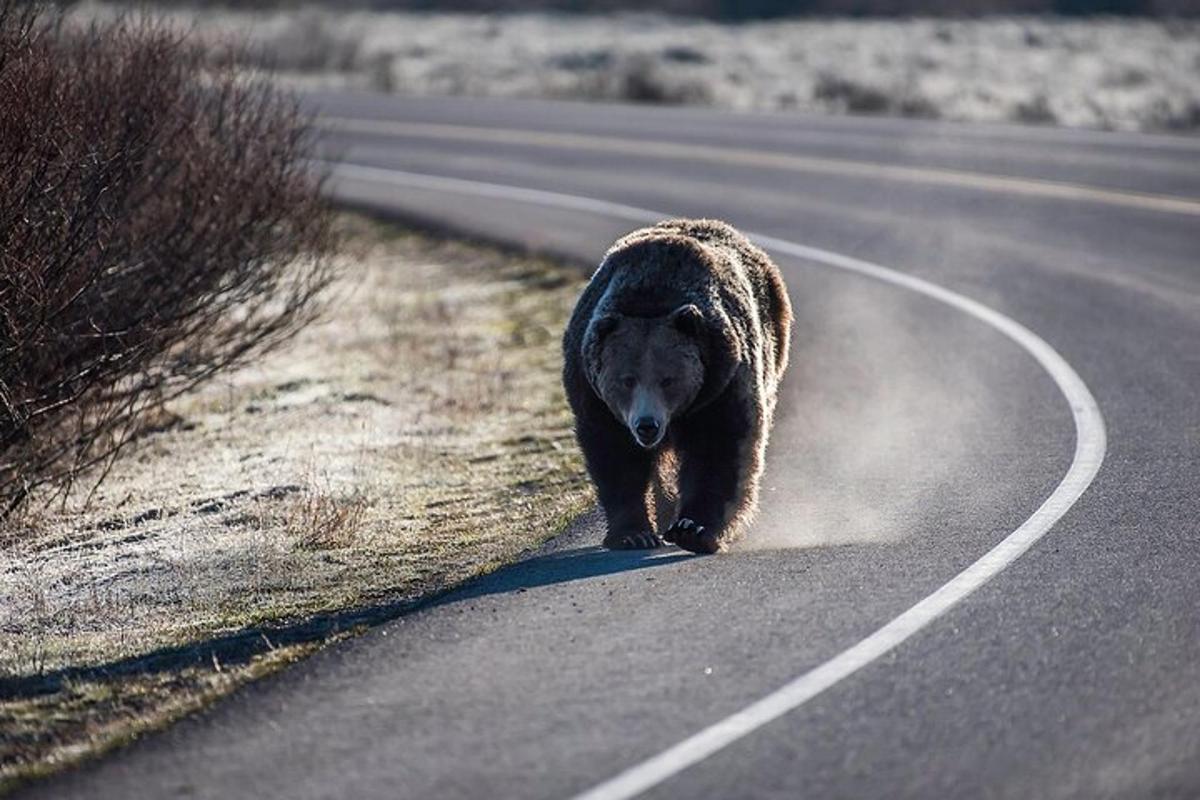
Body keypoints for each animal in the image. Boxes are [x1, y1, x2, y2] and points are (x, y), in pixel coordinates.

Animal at [564, 219, 792, 556]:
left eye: (668, 379)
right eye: (627, 379)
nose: (647, 425)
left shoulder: (721, 384)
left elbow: (719, 448)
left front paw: (693, 529)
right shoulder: (594, 395)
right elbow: (614, 457)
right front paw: (633, 534)